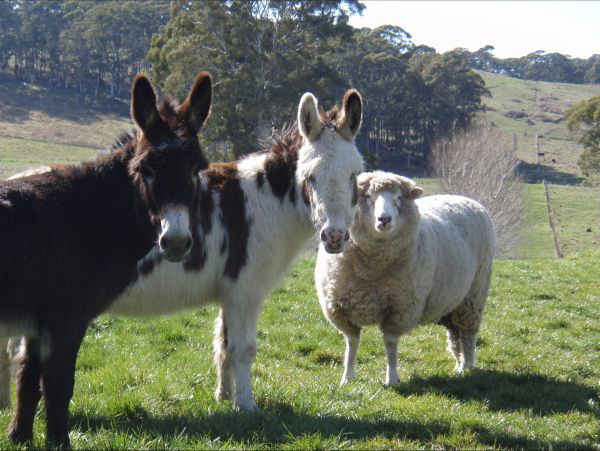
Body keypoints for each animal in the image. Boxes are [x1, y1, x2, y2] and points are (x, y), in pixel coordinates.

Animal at [316, 170, 494, 384]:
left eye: (398, 198)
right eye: (369, 197)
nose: (384, 219)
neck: (371, 270)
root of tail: (465, 198)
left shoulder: (400, 308)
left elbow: (390, 344)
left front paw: (392, 379)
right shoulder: (340, 309)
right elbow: (352, 344)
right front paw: (347, 378)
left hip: (473, 295)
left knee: (468, 334)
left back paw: (467, 365)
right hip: (451, 301)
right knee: (455, 334)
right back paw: (459, 366)